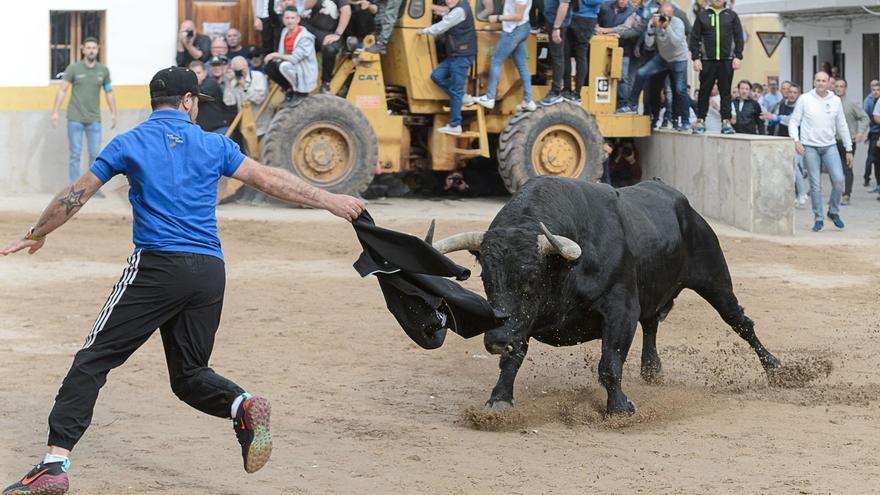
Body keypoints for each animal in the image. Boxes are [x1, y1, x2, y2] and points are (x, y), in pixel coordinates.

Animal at [430, 176, 780, 416]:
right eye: (486, 279)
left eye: (532, 278)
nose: (496, 340)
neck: (566, 269)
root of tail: (681, 203)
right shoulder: (521, 323)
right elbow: (513, 358)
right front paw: (499, 399)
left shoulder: (620, 310)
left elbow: (610, 363)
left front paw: (620, 408)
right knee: (652, 322)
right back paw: (651, 369)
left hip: (715, 280)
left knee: (740, 322)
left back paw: (776, 368)